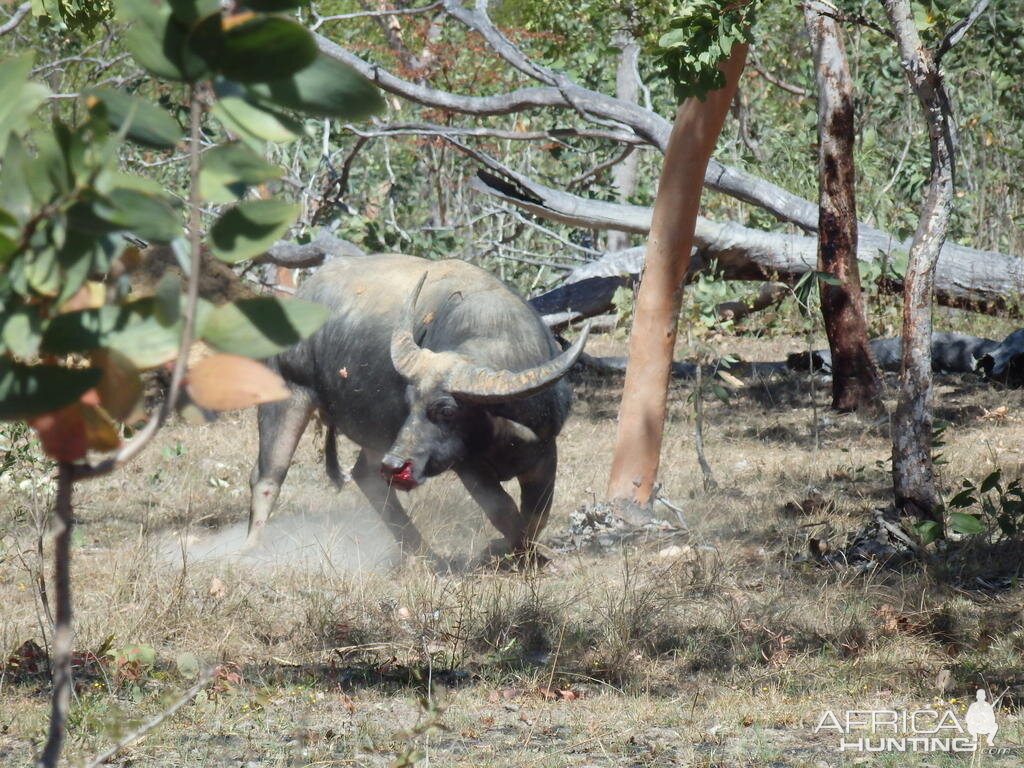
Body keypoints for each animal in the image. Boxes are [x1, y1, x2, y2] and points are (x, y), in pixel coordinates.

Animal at [243, 256, 589, 561]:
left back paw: (417, 548)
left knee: (366, 476)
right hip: (288, 395)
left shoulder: (545, 454)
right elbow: (503, 511)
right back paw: (253, 549)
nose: (396, 466)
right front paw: (511, 551)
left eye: (447, 410)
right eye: (409, 403)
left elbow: (536, 516)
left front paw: (522, 551)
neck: (503, 423)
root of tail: (302, 294)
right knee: (268, 477)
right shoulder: (468, 465)